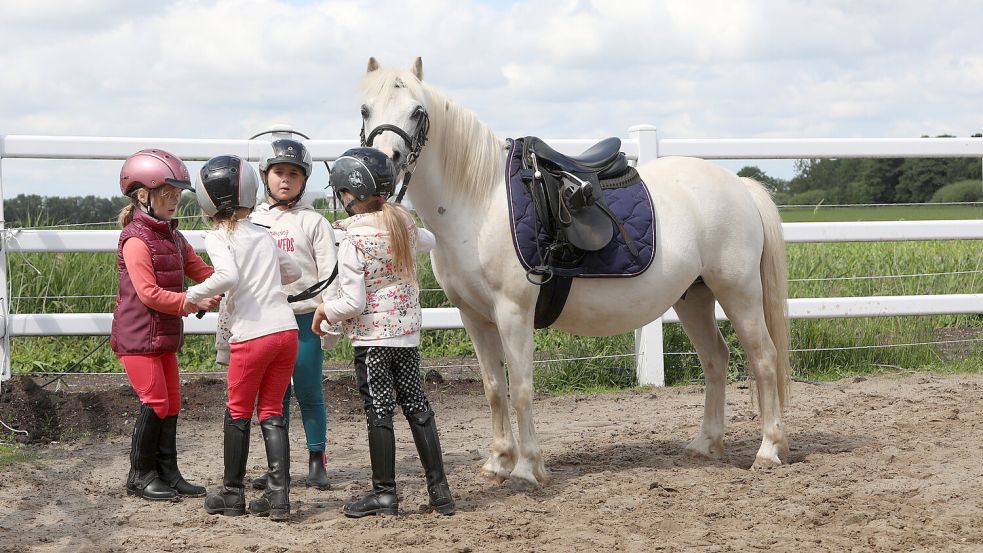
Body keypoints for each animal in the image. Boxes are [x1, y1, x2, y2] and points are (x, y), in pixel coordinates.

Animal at [357, 57, 791, 488]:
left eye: (417, 111)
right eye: (365, 109)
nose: (386, 161)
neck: (479, 202)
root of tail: (740, 186)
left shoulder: (513, 313)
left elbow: (521, 388)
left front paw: (527, 468)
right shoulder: (474, 317)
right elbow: (494, 388)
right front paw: (498, 462)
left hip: (738, 292)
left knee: (764, 359)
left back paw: (768, 449)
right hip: (694, 297)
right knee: (715, 359)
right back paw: (705, 443)